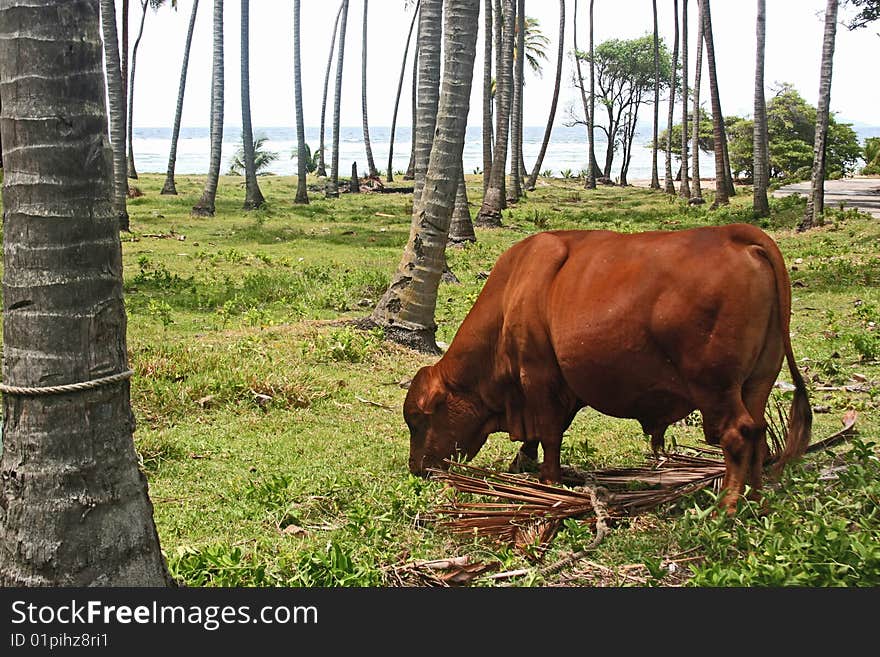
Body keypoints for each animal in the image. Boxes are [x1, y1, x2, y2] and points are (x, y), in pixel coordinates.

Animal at [404, 223, 812, 510]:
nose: (417, 468)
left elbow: (549, 434)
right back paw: (755, 499)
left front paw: (548, 482)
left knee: (738, 434)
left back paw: (726, 508)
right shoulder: (561, 388)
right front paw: (522, 464)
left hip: (715, 388)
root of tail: (735, 235)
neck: (511, 293)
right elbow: (544, 434)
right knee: (759, 432)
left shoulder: (538, 378)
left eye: (419, 419)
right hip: (757, 381)